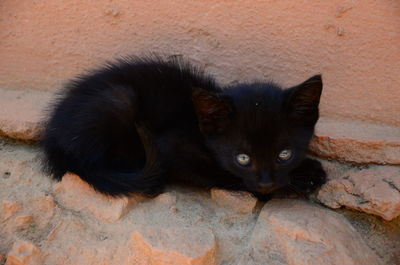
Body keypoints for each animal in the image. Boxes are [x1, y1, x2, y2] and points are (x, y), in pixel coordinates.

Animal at [41, 54, 324, 197]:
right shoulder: (172, 148)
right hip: (119, 100)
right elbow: (227, 177)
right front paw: (301, 179)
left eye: (284, 155)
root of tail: (53, 140)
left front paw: (305, 171)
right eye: (243, 158)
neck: (199, 128)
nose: (266, 182)